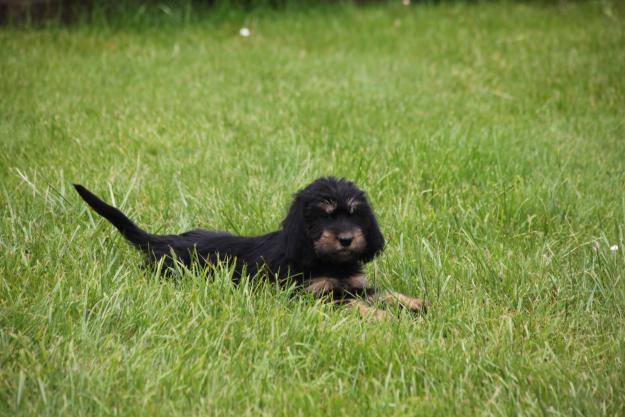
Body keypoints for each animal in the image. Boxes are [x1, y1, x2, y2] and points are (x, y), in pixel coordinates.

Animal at [73, 176, 424, 318]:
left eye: (353, 213)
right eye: (324, 216)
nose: (347, 239)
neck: (326, 261)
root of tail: (162, 240)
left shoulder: (353, 285)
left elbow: (382, 293)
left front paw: (413, 303)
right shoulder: (311, 296)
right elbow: (355, 305)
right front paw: (384, 318)